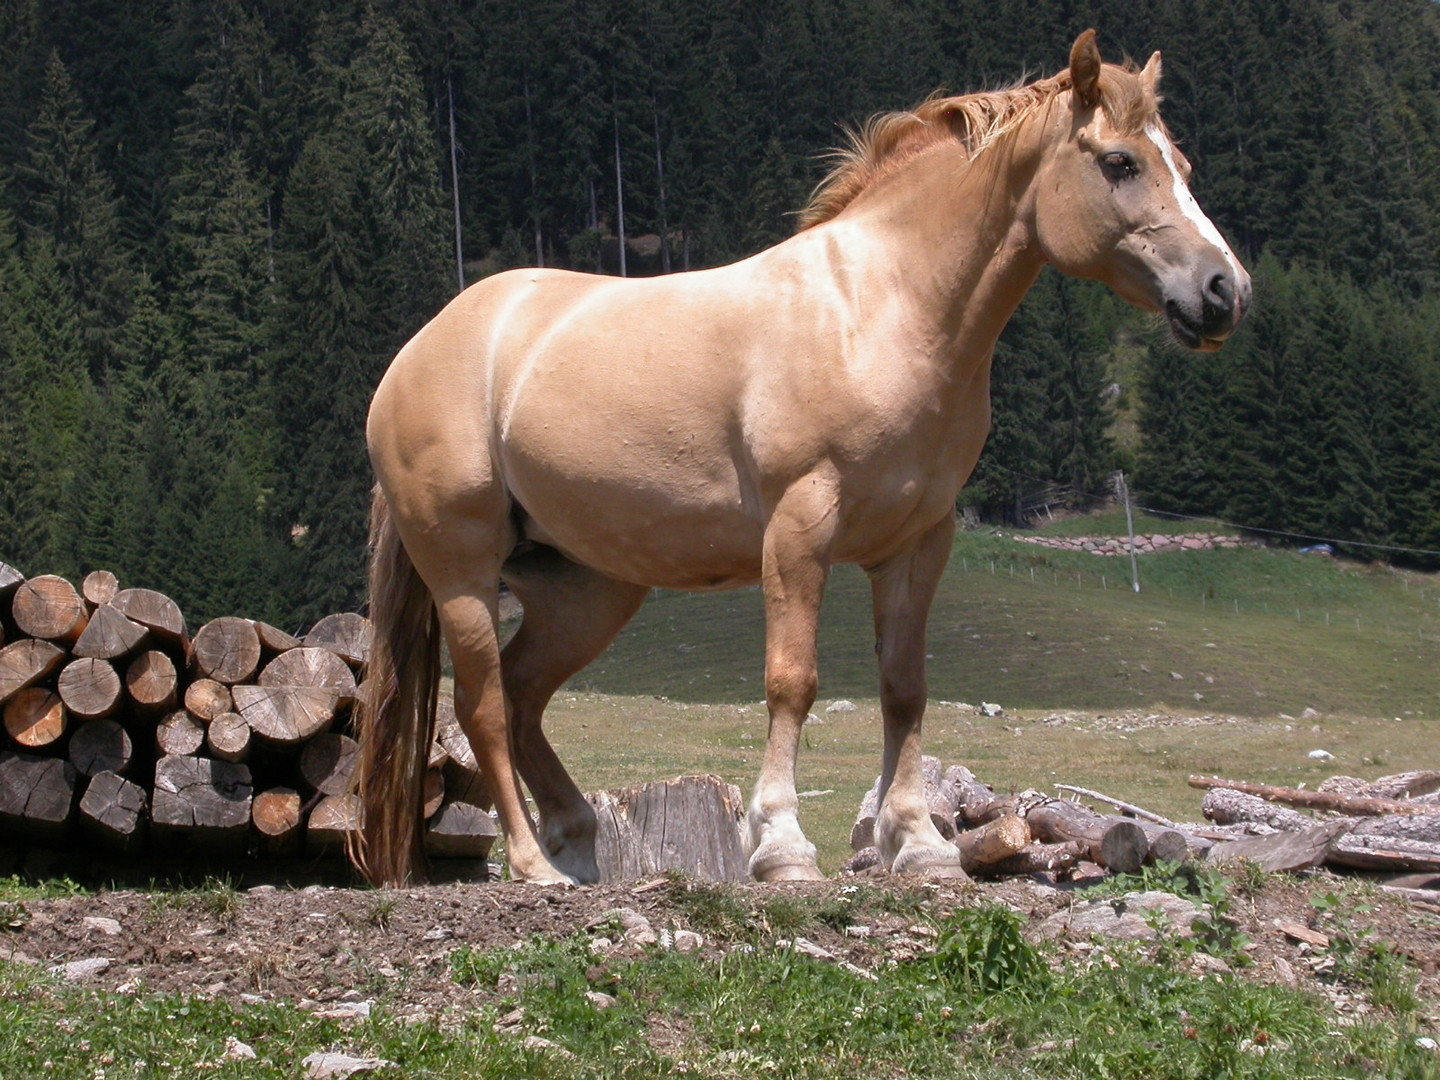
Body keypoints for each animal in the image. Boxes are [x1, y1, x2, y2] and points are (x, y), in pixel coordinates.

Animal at [351, 31, 1249, 887]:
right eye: (1119, 162)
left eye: (1183, 165)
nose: (1225, 292)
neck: (881, 310)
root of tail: (418, 352)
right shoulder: (799, 529)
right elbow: (794, 681)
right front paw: (781, 847)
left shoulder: (918, 543)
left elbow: (905, 689)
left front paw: (918, 844)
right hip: (465, 574)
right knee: (483, 705)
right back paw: (535, 865)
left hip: (589, 591)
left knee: (526, 695)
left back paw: (575, 845)